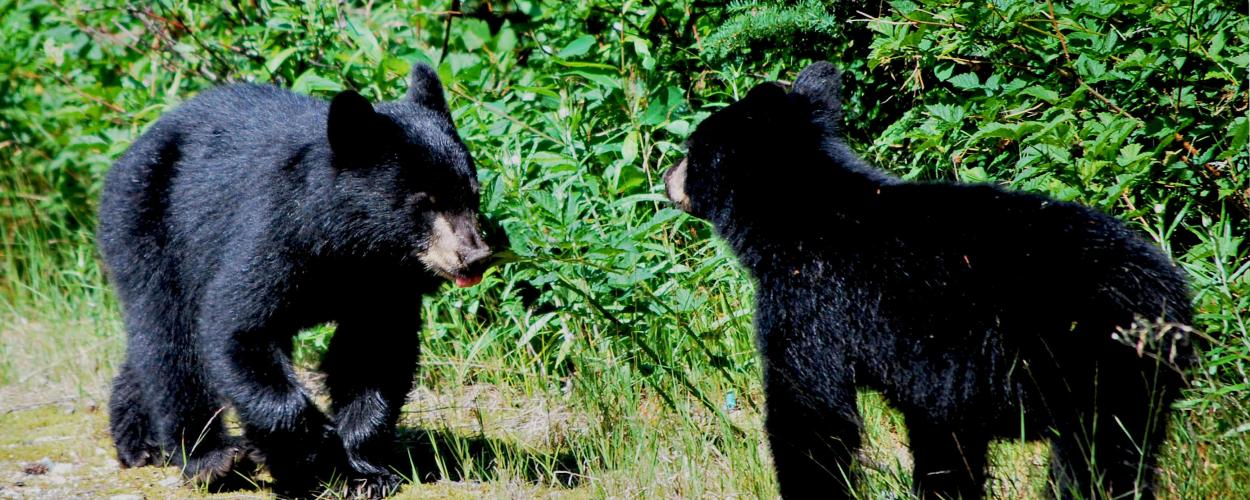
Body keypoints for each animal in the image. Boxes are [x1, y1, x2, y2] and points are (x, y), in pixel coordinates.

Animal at [97, 63, 494, 497]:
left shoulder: (384, 284)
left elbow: (373, 354)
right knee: (168, 337)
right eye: (426, 202)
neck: (350, 247)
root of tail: (131, 149)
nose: (474, 257)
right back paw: (209, 459)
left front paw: (365, 471)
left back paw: (138, 441)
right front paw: (313, 443)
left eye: (473, 195)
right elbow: (237, 328)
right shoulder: (276, 237)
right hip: (149, 226)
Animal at [663, 61, 1194, 499]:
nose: (668, 176)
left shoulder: (810, 299)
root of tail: (1166, 294)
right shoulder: (939, 377)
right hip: (1139, 380)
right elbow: (943, 439)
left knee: (1093, 462)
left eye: (692, 149)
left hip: (1090, 363)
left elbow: (811, 410)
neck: (800, 214)